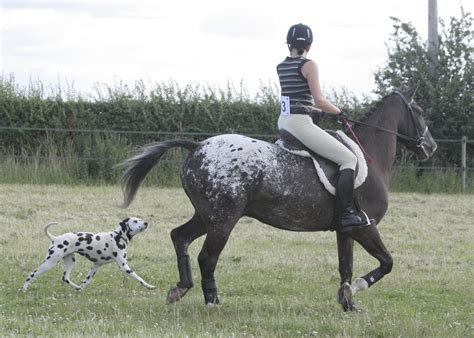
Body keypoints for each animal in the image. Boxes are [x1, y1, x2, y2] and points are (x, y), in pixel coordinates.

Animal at [20, 218, 155, 292]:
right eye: (135, 220)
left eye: (139, 218)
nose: (146, 223)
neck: (118, 237)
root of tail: (55, 238)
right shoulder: (124, 266)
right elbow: (139, 278)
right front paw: (149, 286)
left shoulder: (96, 266)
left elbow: (86, 281)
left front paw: (81, 289)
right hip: (50, 262)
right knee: (31, 274)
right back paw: (24, 289)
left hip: (70, 261)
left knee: (65, 278)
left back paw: (76, 287)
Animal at [119, 88, 436, 310]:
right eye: (419, 111)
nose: (430, 147)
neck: (370, 155)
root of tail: (198, 146)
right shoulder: (364, 226)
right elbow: (386, 263)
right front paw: (356, 289)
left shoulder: (345, 230)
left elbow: (345, 266)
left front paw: (348, 303)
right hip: (223, 220)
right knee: (207, 257)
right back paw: (212, 302)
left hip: (205, 216)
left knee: (180, 237)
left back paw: (181, 288)